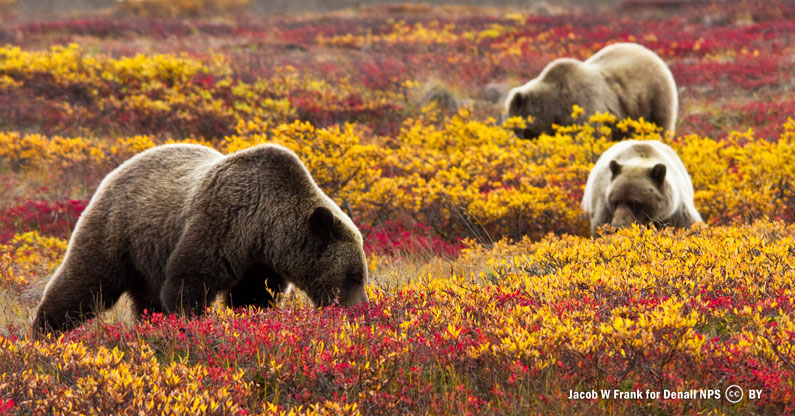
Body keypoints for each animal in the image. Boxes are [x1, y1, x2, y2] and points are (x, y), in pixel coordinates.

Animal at [32, 143, 372, 334]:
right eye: (355, 275)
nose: (359, 312)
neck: (263, 229)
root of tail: (120, 168)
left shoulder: (260, 263)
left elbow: (252, 298)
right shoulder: (222, 223)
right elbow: (189, 285)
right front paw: (189, 328)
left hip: (147, 257)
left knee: (145, 302)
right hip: (119, 228)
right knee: (86, 282)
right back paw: (44, 332)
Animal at [504, 42, 676, 140]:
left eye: (516, 121)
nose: (518, 135)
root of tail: (654, 55)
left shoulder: (582, 104)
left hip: (654, 97)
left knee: (660, 125)